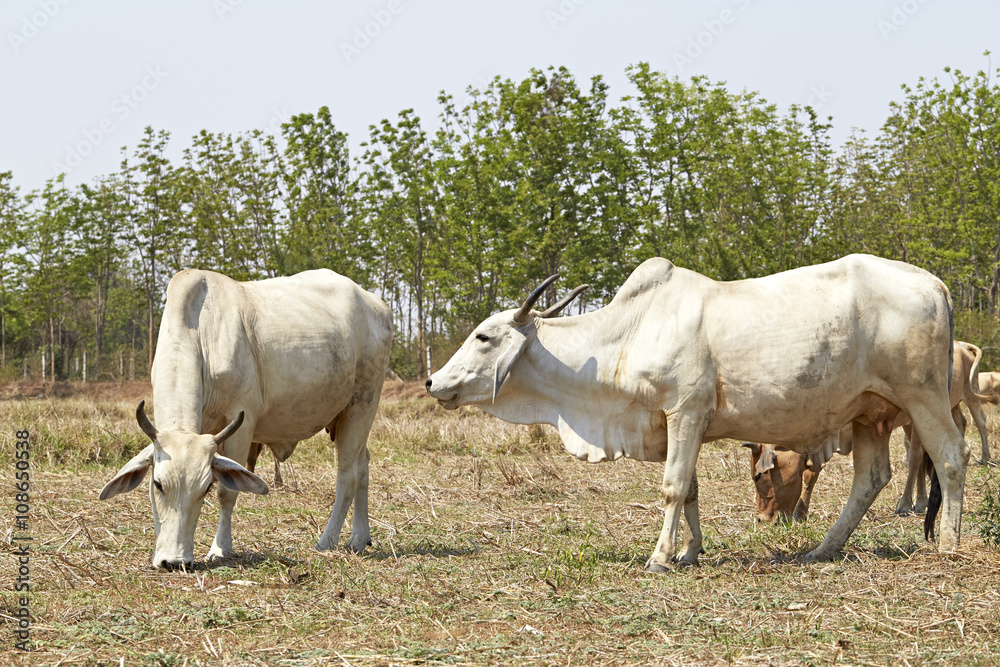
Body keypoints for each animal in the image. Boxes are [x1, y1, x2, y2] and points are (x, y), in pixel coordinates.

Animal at [99, 269, 392, 569]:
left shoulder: (242, 423)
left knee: (348, 475)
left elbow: (226, 494)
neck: (201, 331)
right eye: (158, 484)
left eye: (205, 487)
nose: (174, 561)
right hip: (347, 418)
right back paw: (359, 539)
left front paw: (220, 548)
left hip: (363, 404)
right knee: (363, 464)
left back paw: (327, 541)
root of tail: (376, 304)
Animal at [745, 341, 987, 522]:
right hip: (942, 410)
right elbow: (810, 475)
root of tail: (963, 346)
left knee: (974, 424)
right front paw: (800, 511)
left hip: (963, 398)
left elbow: (915, 459)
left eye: (758, 475)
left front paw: (907, 503)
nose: (760, 519)